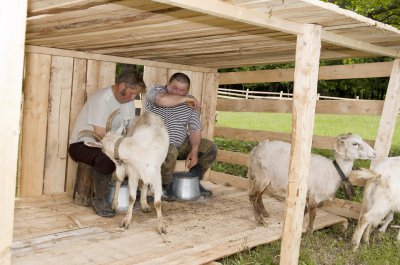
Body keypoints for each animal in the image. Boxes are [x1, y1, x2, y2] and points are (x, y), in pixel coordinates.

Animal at [248, 132, 376, 231]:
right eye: (355, 143)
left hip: (263, 178)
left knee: (259, 195)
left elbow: (304, 211)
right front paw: (309, 231)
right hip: (261, 175)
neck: (333, 171)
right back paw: (260, 220)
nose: (374, 153)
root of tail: (256, 149)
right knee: (253, 196)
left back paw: (265, 213)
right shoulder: (315, 196)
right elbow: (313, 214)